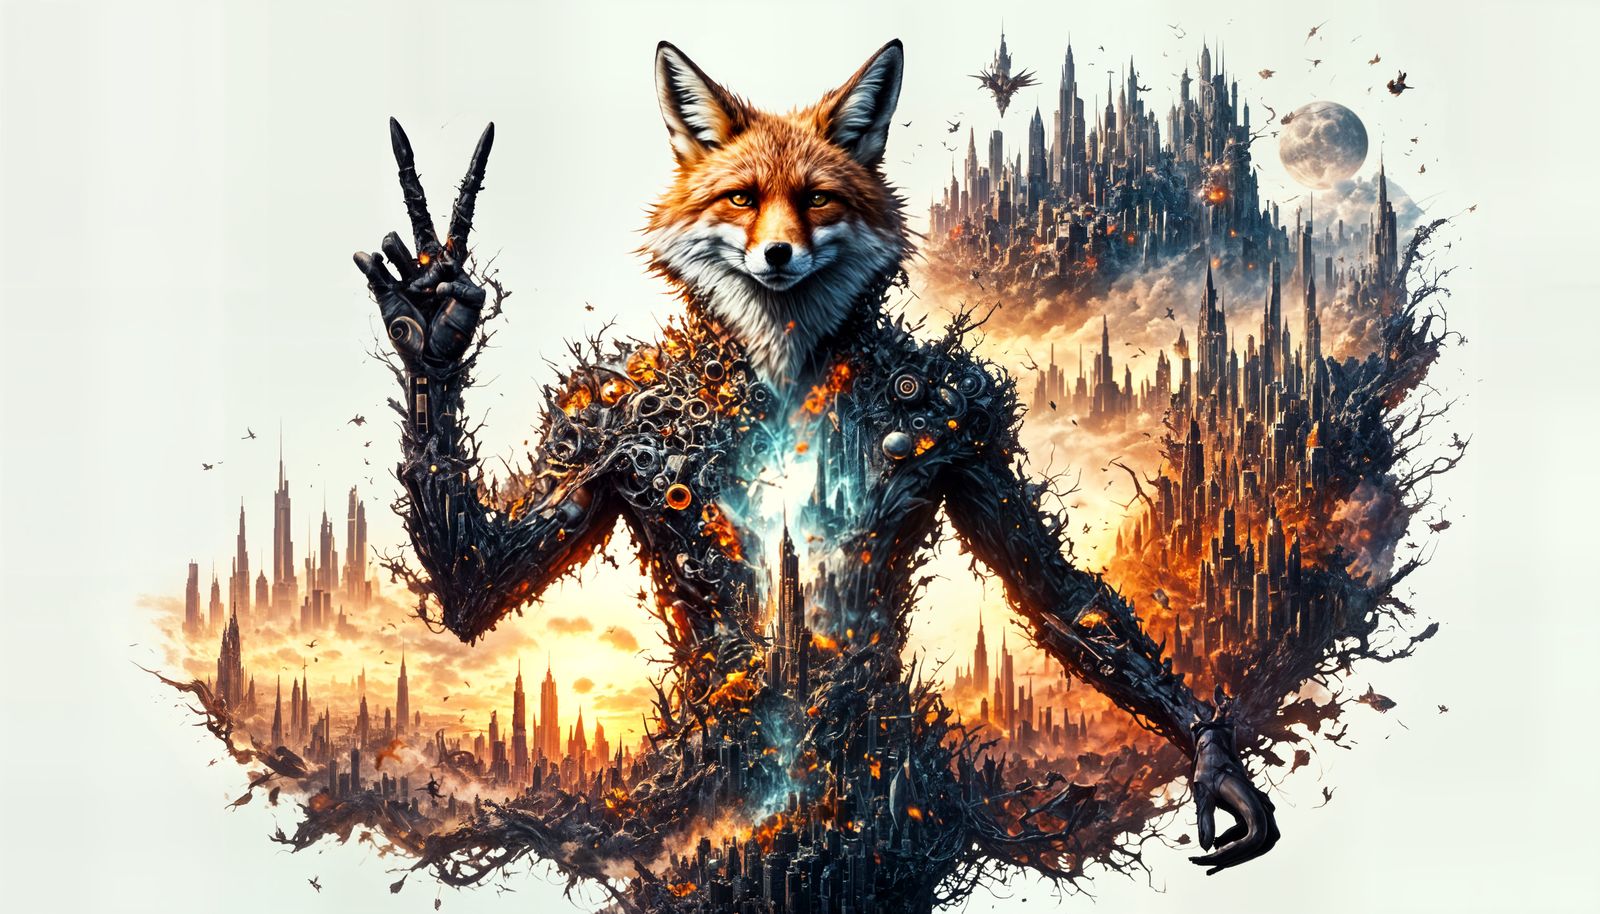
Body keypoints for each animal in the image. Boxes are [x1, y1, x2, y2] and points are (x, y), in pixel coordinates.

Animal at [353, 38, 1278, 908]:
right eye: (739, 197)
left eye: (818, 198)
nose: (778, 254)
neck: (783, 368)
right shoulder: (603, 423)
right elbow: (478, 583)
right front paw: (432, 329)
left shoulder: (970, 425)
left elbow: (1058, 594)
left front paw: (1217, 762)